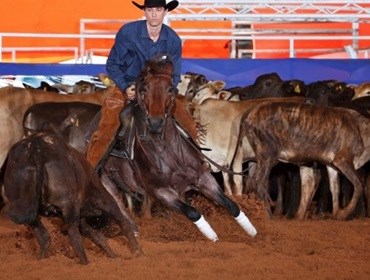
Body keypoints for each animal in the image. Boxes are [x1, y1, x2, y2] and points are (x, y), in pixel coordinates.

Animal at [105, 56, 258, 241]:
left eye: (170, 89)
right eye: (144, 89)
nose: (155, 123)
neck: (168, 152)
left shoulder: (204, 178)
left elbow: (232, 205)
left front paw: (251, 230)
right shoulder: (162, 192)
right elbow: (192, 212)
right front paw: (212, 236)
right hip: (107, 184)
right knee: (119, 206)